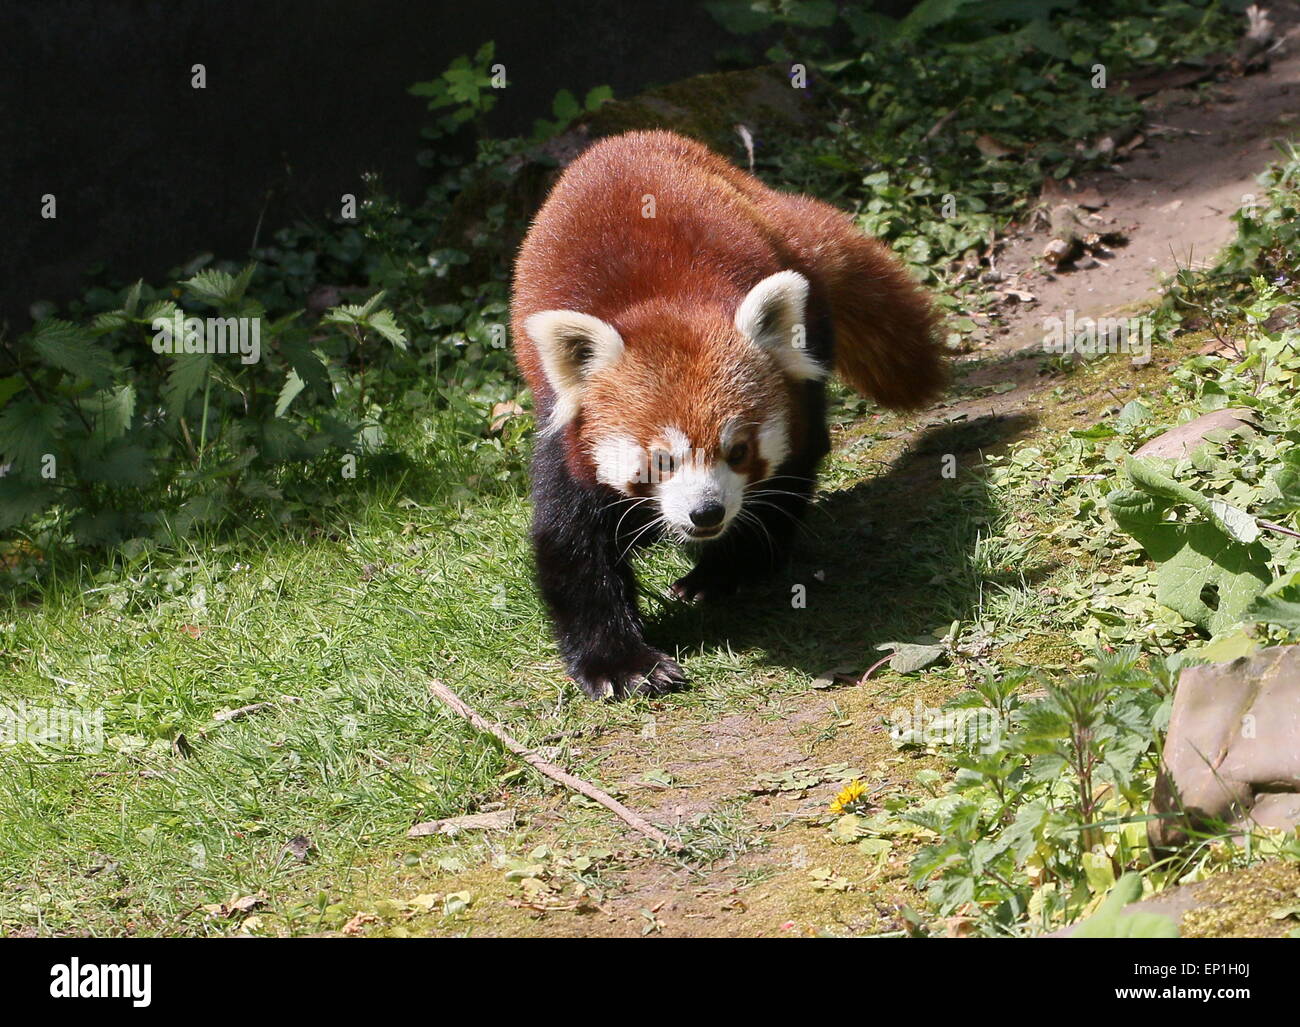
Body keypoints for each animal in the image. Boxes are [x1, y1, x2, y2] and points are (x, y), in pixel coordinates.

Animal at [509, 130, 946, 702]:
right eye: (661, 462)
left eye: (736, 451)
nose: (706, 513)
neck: (665, 301)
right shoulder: (567, 437)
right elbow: (572, 544)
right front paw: (622, 664)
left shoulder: (793, 405)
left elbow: (783, 483)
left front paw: (724, 573)